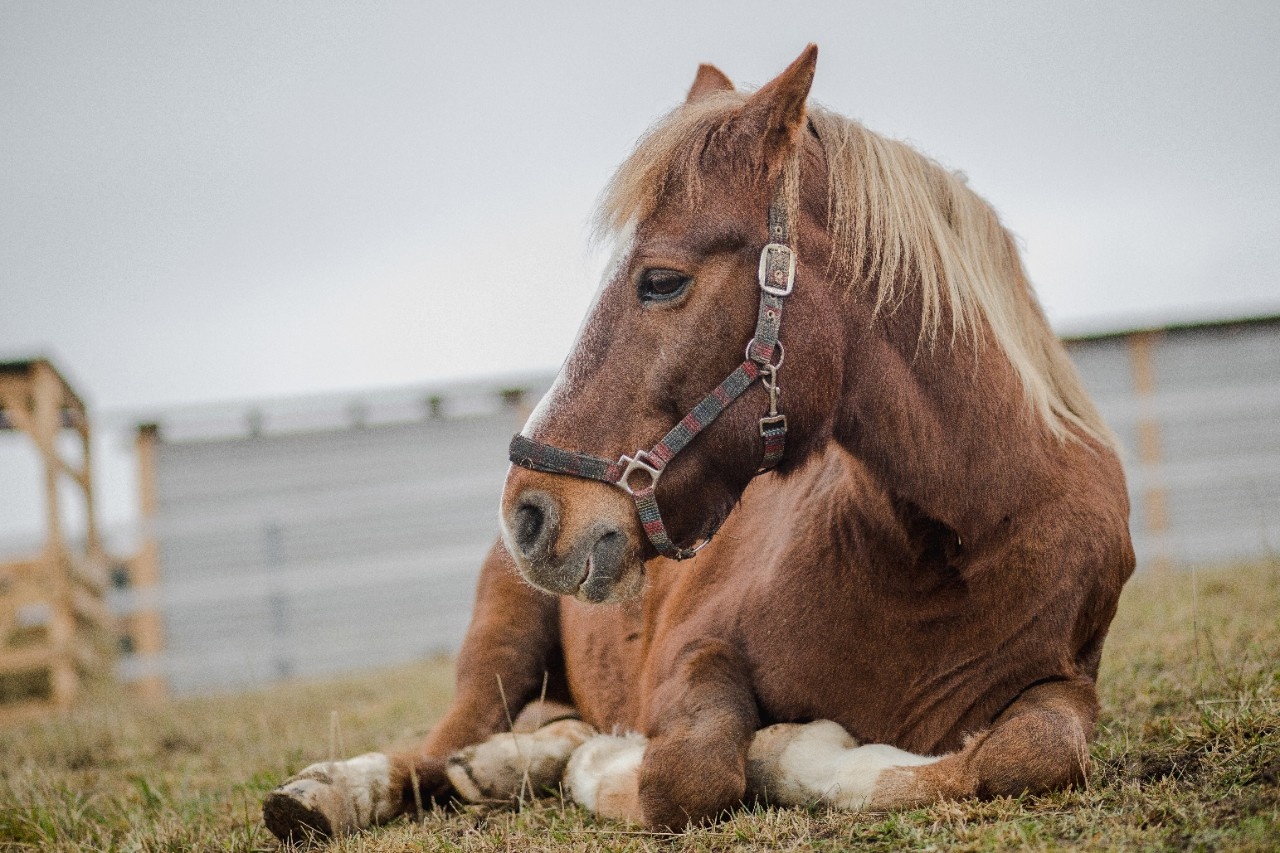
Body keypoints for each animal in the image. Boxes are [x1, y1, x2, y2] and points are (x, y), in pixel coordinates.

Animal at [263, 44, 1134, 841]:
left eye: (660, 280)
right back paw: (334, 791)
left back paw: (519, 761)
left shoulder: (1065, 682)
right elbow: (691, 768)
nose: (529, 513)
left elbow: (1028, 754)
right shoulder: (692, 649)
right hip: (500, 643)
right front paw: (636, 761)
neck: (950, 542)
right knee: (433, 749)